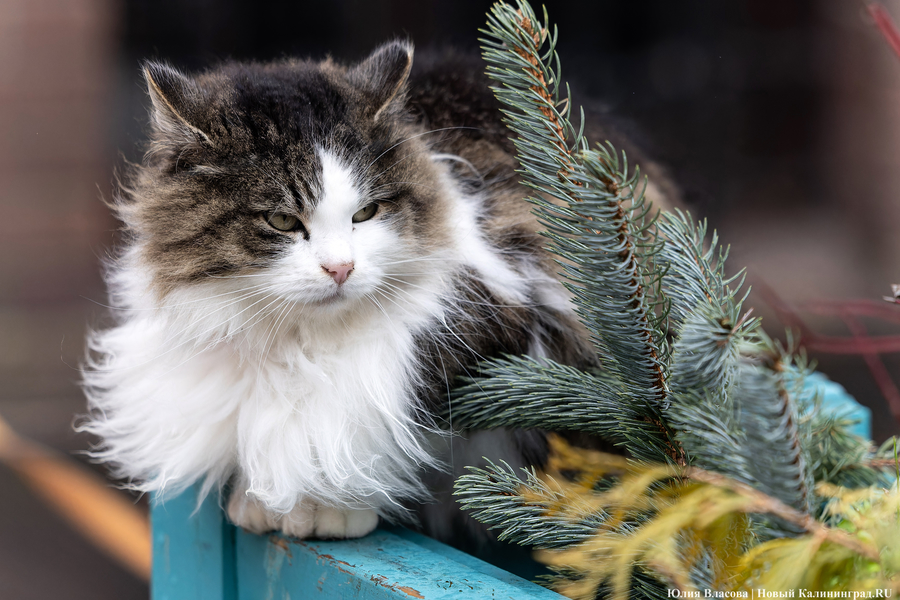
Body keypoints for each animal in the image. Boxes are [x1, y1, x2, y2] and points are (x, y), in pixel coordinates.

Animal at [81, 39, 632, 540]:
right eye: (282, 221)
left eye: (366, 213)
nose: (341, 268)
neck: (297, 344)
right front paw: (260, 504)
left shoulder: (501, 329)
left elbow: (383, 436)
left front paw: (328, 507)